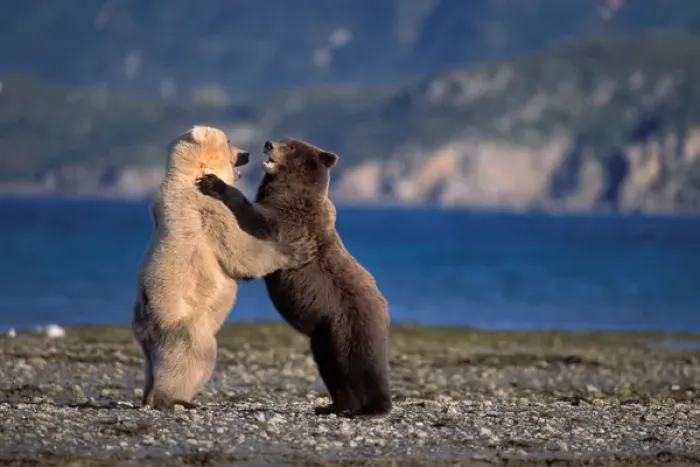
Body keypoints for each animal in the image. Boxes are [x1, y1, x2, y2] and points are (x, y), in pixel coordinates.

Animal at [132, 126, 315, 410]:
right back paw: (176, 399)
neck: (190, 175)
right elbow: (240, 248)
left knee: (151, 366)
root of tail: (145, 322)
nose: (246, 153)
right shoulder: (208, 209)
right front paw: (298, 249)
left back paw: (148, 395)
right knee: (193, 356)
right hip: (185, 326)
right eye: (229, 140)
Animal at [196, 138, 392, 418]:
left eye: (291, 147)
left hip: (351, 322)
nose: (269, 143)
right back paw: (333, 405)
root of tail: (384, 303)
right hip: (325, 337)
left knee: (363, 363)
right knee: (332, 368)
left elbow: (257, 222)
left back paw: (374, 406)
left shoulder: (290, 221)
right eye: (284, 140)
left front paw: (213, 182)